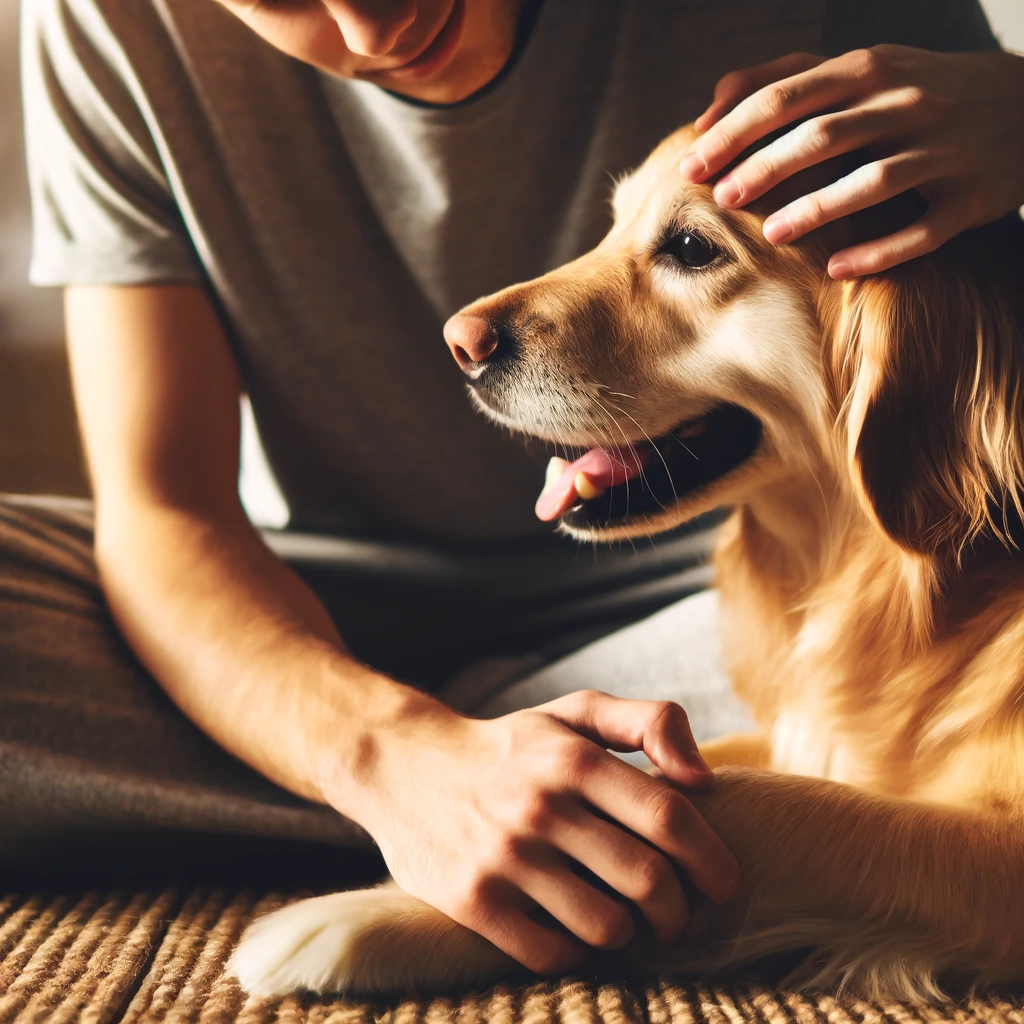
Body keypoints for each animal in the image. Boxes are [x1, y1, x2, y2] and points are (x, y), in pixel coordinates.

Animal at [228, 125, 1024, 999]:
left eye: (692, 246)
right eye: (612, 227)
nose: (458, 343)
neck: (894, 577)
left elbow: (729, 808)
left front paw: (361, 914)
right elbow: (673, 764)